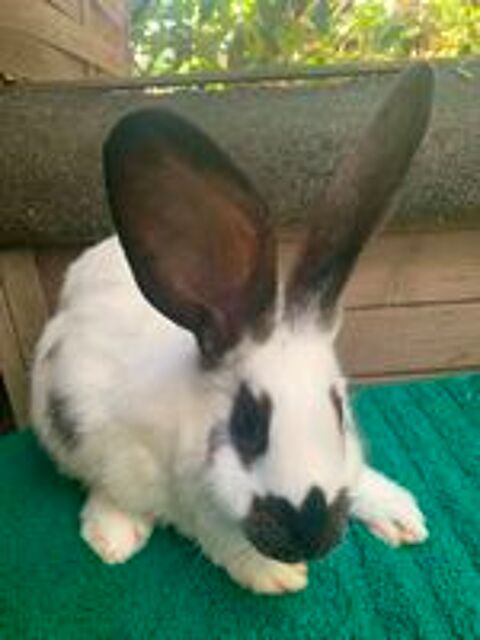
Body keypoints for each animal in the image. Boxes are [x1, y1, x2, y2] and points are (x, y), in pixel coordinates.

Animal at [31, 62, 433, 595]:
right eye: (247, 424)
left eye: (339, 411)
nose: (310, 536)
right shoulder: (189, 500)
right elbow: (215, 536)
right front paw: (274, 575)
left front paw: (397, 512)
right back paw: (113, 535)